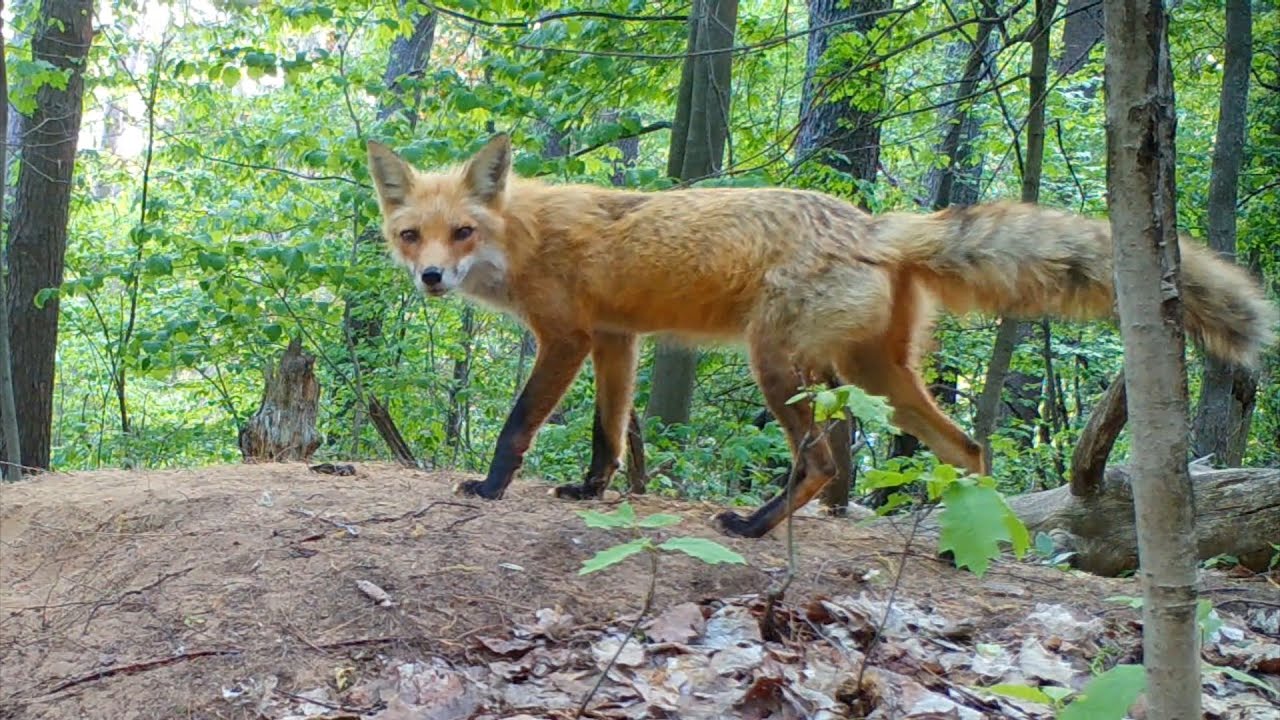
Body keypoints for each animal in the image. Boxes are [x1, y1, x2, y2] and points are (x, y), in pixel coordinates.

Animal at [366, 133, 1278, 539]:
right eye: (413, 235)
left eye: (462, 231)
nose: (432, 279)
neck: (521, 235)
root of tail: (876, 224)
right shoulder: (615, 339)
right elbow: (609, 433)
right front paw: (591, 491)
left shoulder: (565, 338)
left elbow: (518, 426)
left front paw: (489, 488)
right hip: (878, 379)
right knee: (967, 450)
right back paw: (959, 544)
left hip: (780, 367)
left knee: (825, 463)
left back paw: (756, 526)